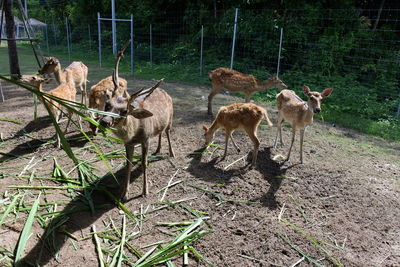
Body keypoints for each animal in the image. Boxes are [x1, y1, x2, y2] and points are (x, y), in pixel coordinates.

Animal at [100, 40, 173, 202]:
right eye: (107, 104)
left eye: (125, 111)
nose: (105, 121)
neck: (135, 132)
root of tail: (165, 92)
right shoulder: (128, 143)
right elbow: (128, 165)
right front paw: (124, 194)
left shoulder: (145, 139)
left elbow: (145, 164)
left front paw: (145, 191)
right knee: (160, 132)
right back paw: (158, 149)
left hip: (171, 118)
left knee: (168, 132)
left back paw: (171, 153)